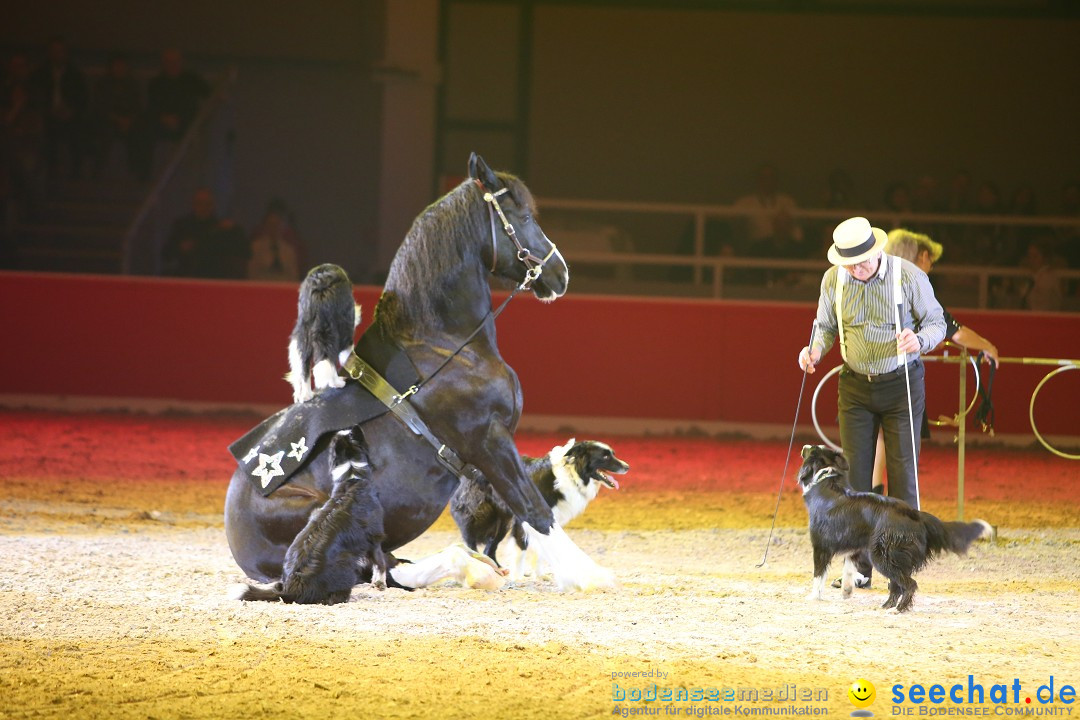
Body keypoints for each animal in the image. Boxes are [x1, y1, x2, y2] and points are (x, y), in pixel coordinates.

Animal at [236, 425, 393, 604]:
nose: (352, 427)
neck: (351, 476)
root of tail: (290, 589)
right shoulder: (374, 536)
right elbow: (380, 562)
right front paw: (380, 584)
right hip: (347, 564)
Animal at [287, 262, 362, 403]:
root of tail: (320, 287)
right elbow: (344, 356)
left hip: (304, 331)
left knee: (304, 365)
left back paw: (306, 396)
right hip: (336, 331)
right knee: (331, 356)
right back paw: (337, 383)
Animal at [449, 436, 630, 578]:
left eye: (612, 454)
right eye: (605, 456)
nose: (627, 467)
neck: (570, 474)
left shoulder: (547, 521)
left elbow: (541, 552)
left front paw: (540, 575)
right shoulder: (524, 520)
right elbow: (521, 549)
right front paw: (518, 578)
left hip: (502, 522)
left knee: (489, 549)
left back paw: (498, 570)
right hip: (475, 515)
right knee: (471, 542)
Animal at [799, 444, 989, 613]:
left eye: (811, 449)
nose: (804, 446)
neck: (825, 480)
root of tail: (916, 514)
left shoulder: (821, 546)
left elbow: (818, 574)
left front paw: (813, 596)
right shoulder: (855, 545)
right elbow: (849, 568)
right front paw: (846, 590)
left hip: (882, 555)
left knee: (909, 584)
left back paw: (899, 609)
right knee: (897, 586)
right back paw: (887, 606)